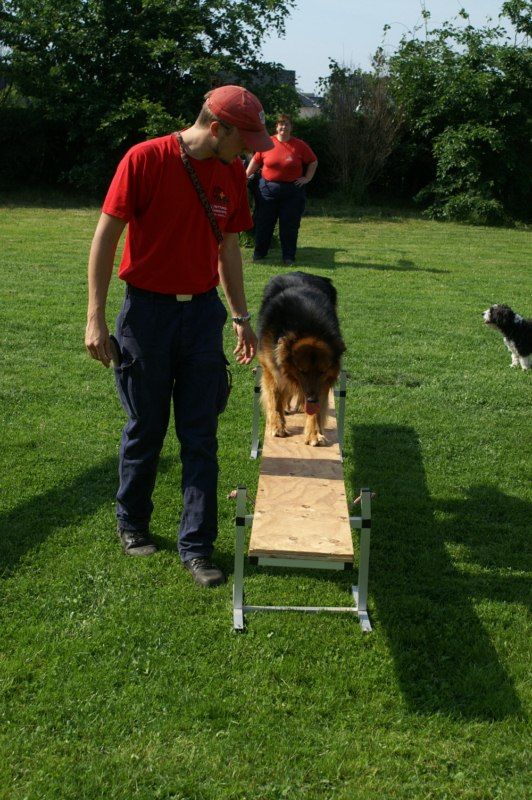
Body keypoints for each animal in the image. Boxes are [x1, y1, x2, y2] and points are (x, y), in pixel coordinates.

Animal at [257, 272, 346, 446]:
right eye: (302, 371)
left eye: (322, 371)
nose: (311, 399)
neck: (309, 327)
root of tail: (299, 272)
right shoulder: (271, 368)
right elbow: (274, 398)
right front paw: (277, 425)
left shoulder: (322, 384)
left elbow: (316, 410)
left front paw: (314, 433)